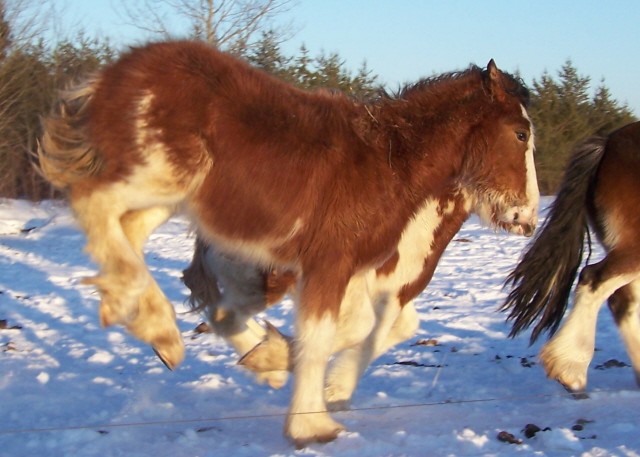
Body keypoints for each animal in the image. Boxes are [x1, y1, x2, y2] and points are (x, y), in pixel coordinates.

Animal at [40, 40, 536, 446]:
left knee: (141, 245)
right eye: (520, 133)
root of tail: (116, 73)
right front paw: (310, 424)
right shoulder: (330, 264)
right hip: (164, 181)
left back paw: (156, 329)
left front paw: (280, 364)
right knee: (93, 202)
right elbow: (324, 337)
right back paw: (157, 324)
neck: (389, 163)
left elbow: (356, 330)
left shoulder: (352, 272)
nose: (527, 218)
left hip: (170, 198)